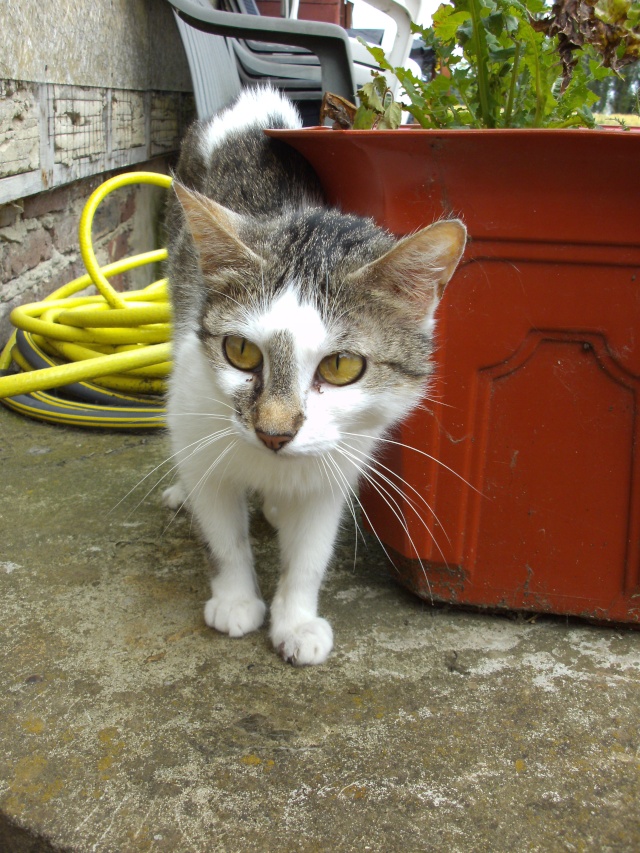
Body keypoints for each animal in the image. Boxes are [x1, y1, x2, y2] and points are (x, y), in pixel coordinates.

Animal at [162, 85, 468, 664]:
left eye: (342, 366)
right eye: (240, 352)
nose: (273, 433)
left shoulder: (341, 462)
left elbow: (310, 552)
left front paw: (297, 621)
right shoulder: (195, 420)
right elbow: (223, 534)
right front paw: (236, 600)